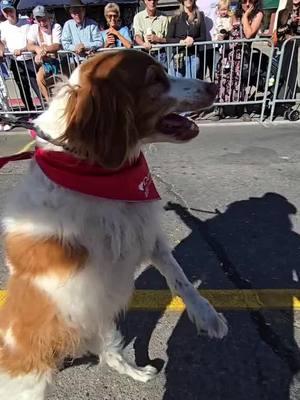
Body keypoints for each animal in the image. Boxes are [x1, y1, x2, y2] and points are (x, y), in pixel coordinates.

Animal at [0, 50, 226, 400]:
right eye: (155, 78)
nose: (214, 86)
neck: (96, 170)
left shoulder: (145, 235)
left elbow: (179, 277)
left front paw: (206, 315)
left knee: (111, 355)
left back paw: (139, 372)